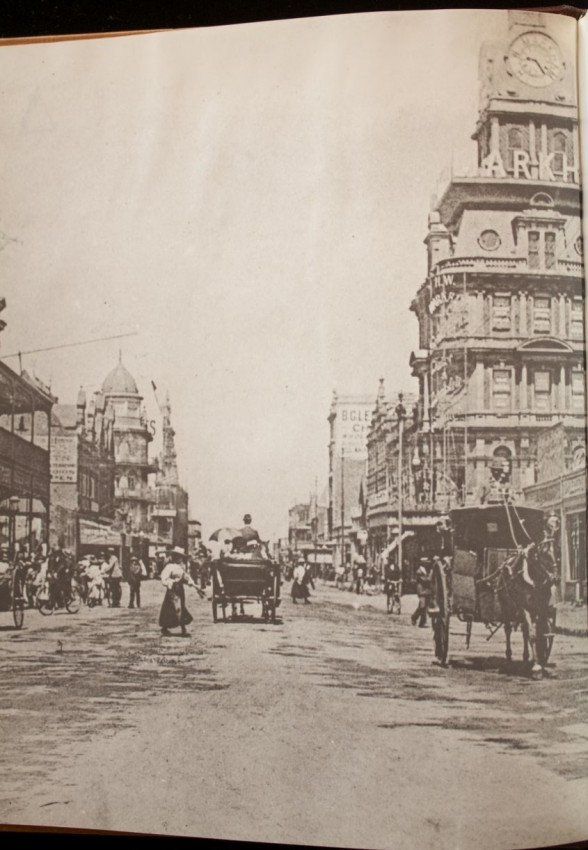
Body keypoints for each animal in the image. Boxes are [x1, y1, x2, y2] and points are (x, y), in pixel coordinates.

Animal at [494, 540, 558, 678]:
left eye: (558, 550)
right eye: (544, 554)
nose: (555, 578)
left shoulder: (542, 609)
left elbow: (541, 633)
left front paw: (540, 662)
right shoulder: (524, 608)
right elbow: (533, 635)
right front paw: (536, 668)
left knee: (524, 632)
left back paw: (525, 659)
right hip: (506, 607)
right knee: (508, 630)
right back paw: (509, 659)